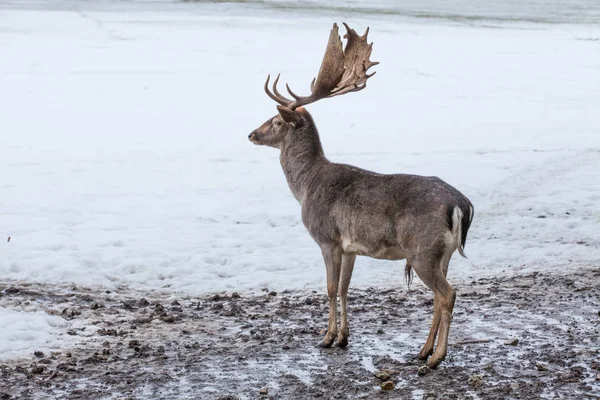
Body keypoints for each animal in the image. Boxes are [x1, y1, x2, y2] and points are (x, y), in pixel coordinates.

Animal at [248, 22, 474, 368]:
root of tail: (461, 205)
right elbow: (344, 289)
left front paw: (326, 338)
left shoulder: (326, 238)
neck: (306, 186)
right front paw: (343, 337)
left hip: (422, 249)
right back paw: (423, 351)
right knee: (439, 296)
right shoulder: (351, 247)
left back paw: (436, 358)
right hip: (442, 253)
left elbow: (329, 288)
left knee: (447, 294)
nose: (251, 134)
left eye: (275, 121)